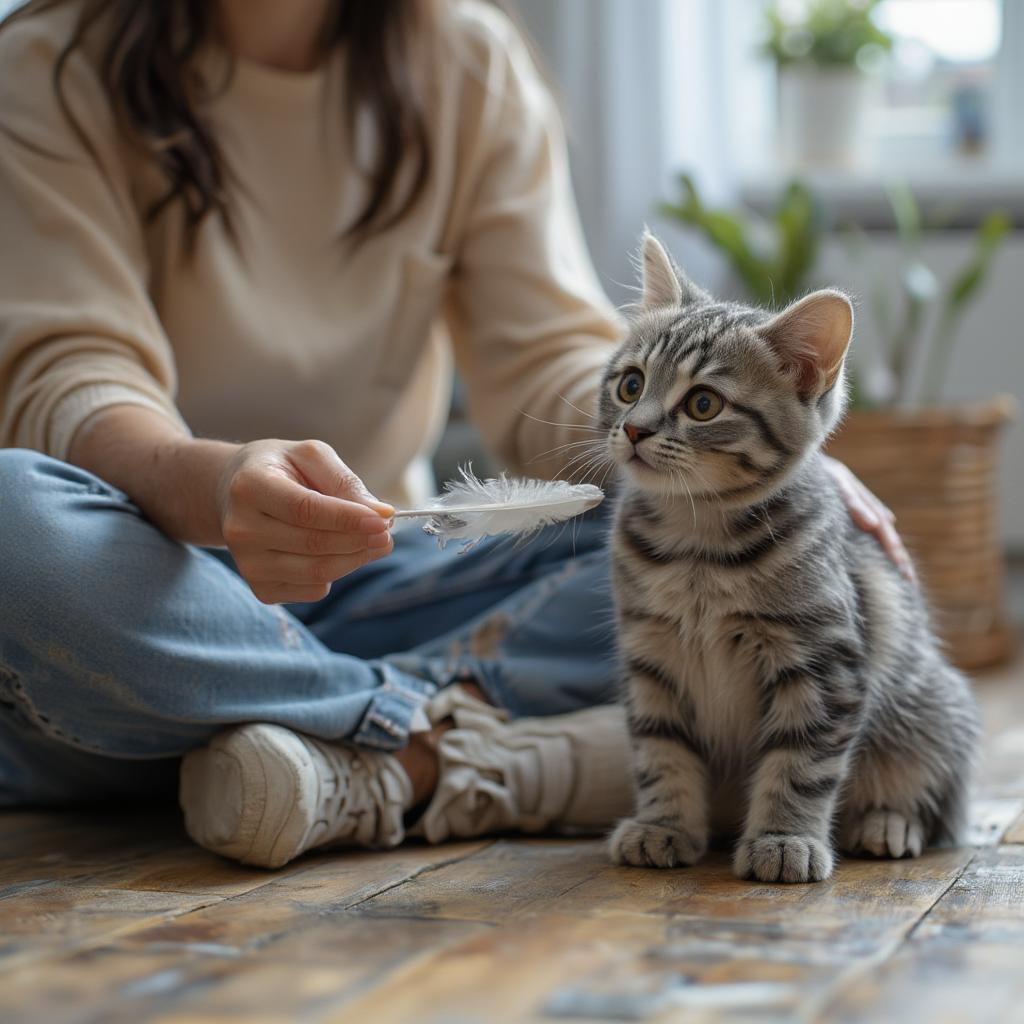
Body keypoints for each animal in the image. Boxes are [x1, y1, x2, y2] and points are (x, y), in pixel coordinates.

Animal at [602, 230, 978, 880]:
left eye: (703, 404)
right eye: (630, 385)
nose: (634, 429)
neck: (697, 547)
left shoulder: (822, 662)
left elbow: (800, 762)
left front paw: (784, 838)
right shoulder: (650, 655)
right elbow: (660, 749)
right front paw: (663, 824)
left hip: (931, 712)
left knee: (931, 801)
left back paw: (886, 823)